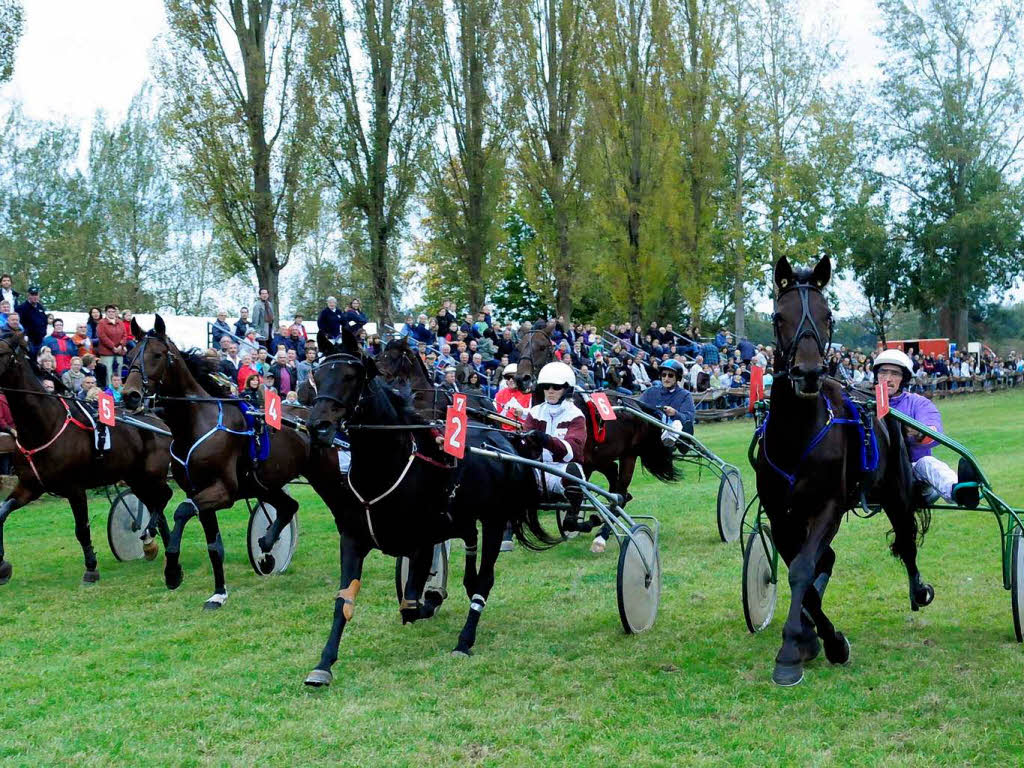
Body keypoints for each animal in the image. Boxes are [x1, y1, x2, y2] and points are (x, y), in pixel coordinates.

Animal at [0, 331, 172, 589]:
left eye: (1, 352)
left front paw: (91, 568)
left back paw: (152, 536)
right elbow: (2, 512)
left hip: (153, 475)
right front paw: (3, 566)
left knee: (164, 497)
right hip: (136, 478)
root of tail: (158, 420)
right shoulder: (29, 486)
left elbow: (82, 529)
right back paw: (159, 543)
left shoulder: (74, 488)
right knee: (155, 505)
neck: (44, 425)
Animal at [122, 315, 309, 610]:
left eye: (157, 355)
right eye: (129, 356)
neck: (196, 422)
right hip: (264, 484)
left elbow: (182, 511)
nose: (130, 395)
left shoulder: (223, 491)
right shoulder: (200, 492)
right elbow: (214, 547)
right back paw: (267, 546)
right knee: (289, 506)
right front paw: (218, 592)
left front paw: (172, 571)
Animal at [303, 333, 561, 688]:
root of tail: (503, 441)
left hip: (495, 520)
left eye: (351, 376)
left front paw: (433, 597)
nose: (318, 426)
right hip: (463, 516)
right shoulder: (353, 540)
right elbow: (345, 601)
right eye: (317, 375)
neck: (383, 470)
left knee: (485, 580)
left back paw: (464, 639)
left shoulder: (421, 543)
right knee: (470, 547)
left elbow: (410, 605)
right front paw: (323, 664)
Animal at [753, 259, 929, 684]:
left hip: (897, 493)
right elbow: (800, 573)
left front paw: (799, 650)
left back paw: (918, 590)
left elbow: (802, 571)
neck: (797, 433)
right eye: (778, 317)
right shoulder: (781, 515)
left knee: (907, 540)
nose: (808, 372)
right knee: (827, 560)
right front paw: (809, 637)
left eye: (828, 316)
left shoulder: (827, 507)